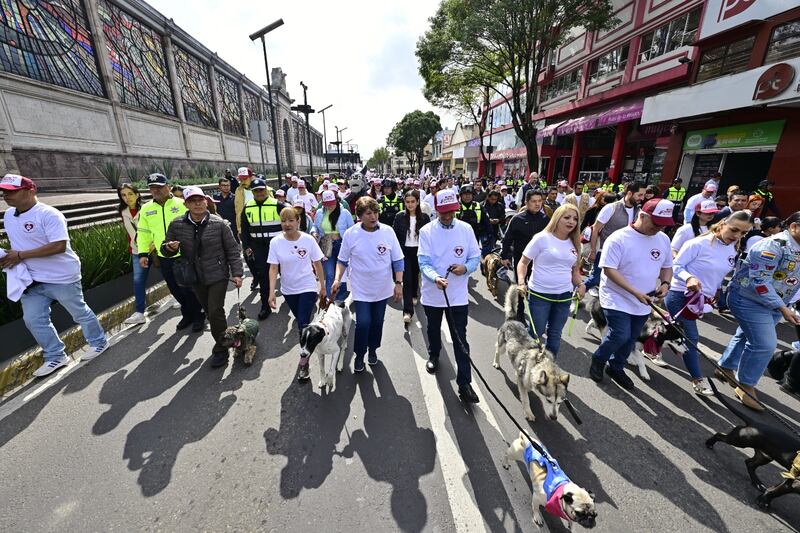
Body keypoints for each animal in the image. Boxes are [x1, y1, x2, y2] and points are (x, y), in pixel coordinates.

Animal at [708, 378, 800, 508]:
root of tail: (755, 423)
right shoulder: (794, 483)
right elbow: (776, 491)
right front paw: (763, 501)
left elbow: (775, 488)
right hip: (740, 440)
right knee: (719, 435)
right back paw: (709, 443)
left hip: (764, 456)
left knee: (750, 463)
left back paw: (757, 483)